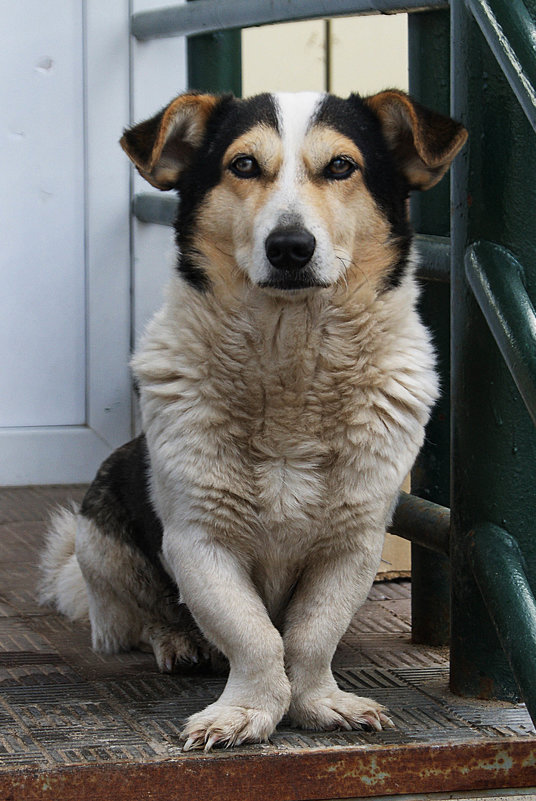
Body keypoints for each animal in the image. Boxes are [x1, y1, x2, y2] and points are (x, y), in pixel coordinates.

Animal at [39, 87, 466, 752]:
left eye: (341, 166)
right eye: (242, 165)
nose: (290, 247)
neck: (289, 362)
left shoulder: (354, 543)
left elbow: (311, 635)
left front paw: (317, 703)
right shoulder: (197, 541)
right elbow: (254, 634)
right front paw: (248, 711)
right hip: (98, 539)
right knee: (139, 618)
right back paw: (178, 641)